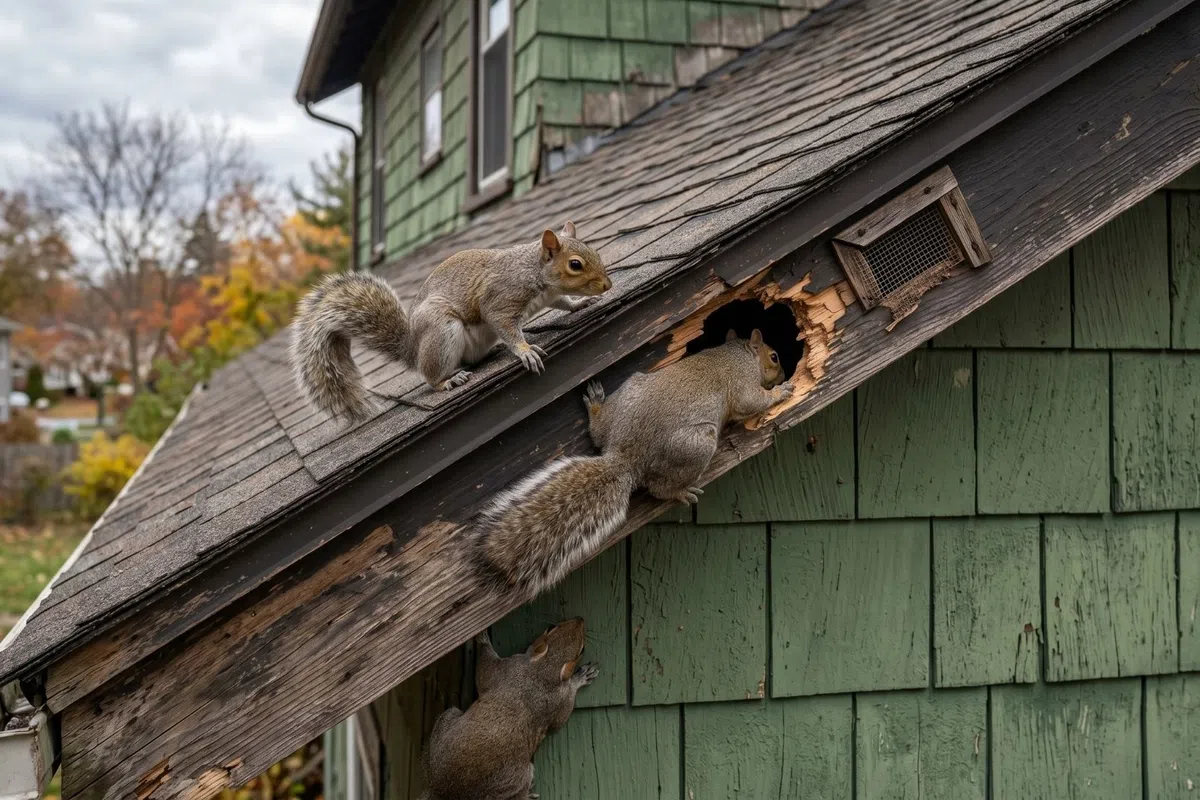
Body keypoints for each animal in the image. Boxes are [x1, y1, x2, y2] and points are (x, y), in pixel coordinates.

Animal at [290, 222, 612, 423]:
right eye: (575, 264)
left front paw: (581, 303)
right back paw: (448, 380)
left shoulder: (551, 297)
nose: (607, 285)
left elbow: (564, 303)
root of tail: (413, 348)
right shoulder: (500, 300)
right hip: (442, 331)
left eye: (595, 251)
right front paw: (525, 350)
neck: (534, 272)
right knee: (431, 376)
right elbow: (504, 325)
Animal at [420, 619, 597, 800]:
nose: (580, 618)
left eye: (582, 649)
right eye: (551, 628)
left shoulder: (511, 673)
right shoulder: (510, 670)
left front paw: (579, 678)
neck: (542, 671)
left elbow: (560, 720)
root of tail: (443, 790)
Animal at [470, 329, 793, 598]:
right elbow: (751, 402)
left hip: (630, 389)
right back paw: (679, 491)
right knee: (659, 488)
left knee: (598, 432)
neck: (737, 352)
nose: (784, 374)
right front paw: (780, 392)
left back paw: (596, 404)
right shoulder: (742, 385)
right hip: (698, 445)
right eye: (774, 356)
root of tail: (625, 458)